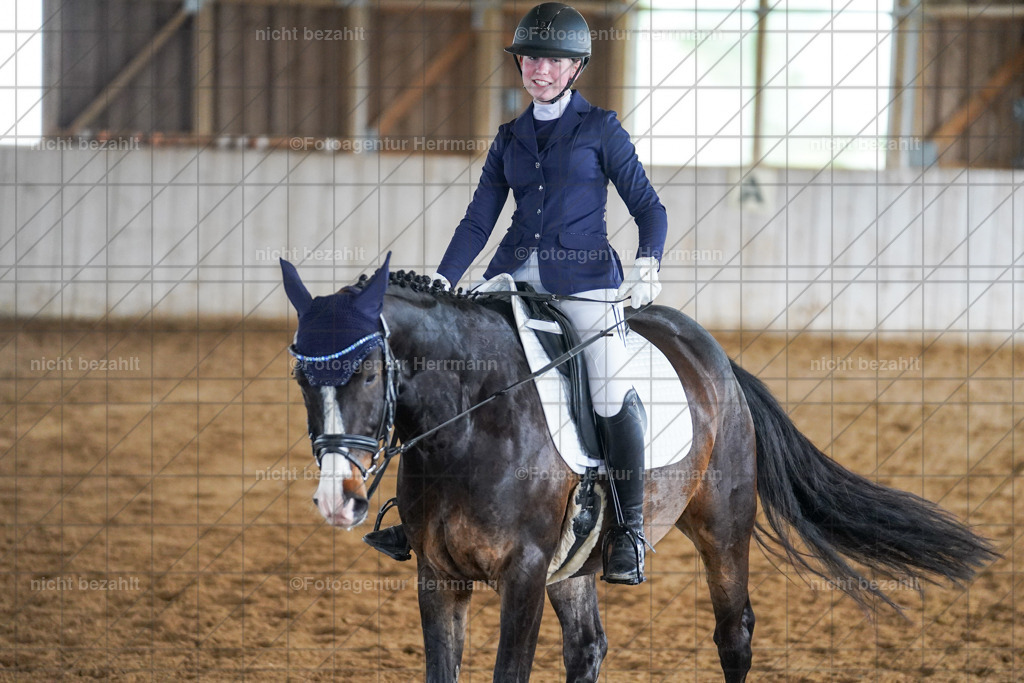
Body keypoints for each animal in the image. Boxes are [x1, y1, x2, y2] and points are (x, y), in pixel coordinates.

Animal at [280, 256, 996, 683]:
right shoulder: (438, 575)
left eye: (366, 371)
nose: (338, 499)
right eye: (300, 377)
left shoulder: (523, 574)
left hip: (722, 526)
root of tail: (718, 359)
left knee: (734, 633)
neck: (470, 421)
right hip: (576, 562)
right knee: (588, 646)